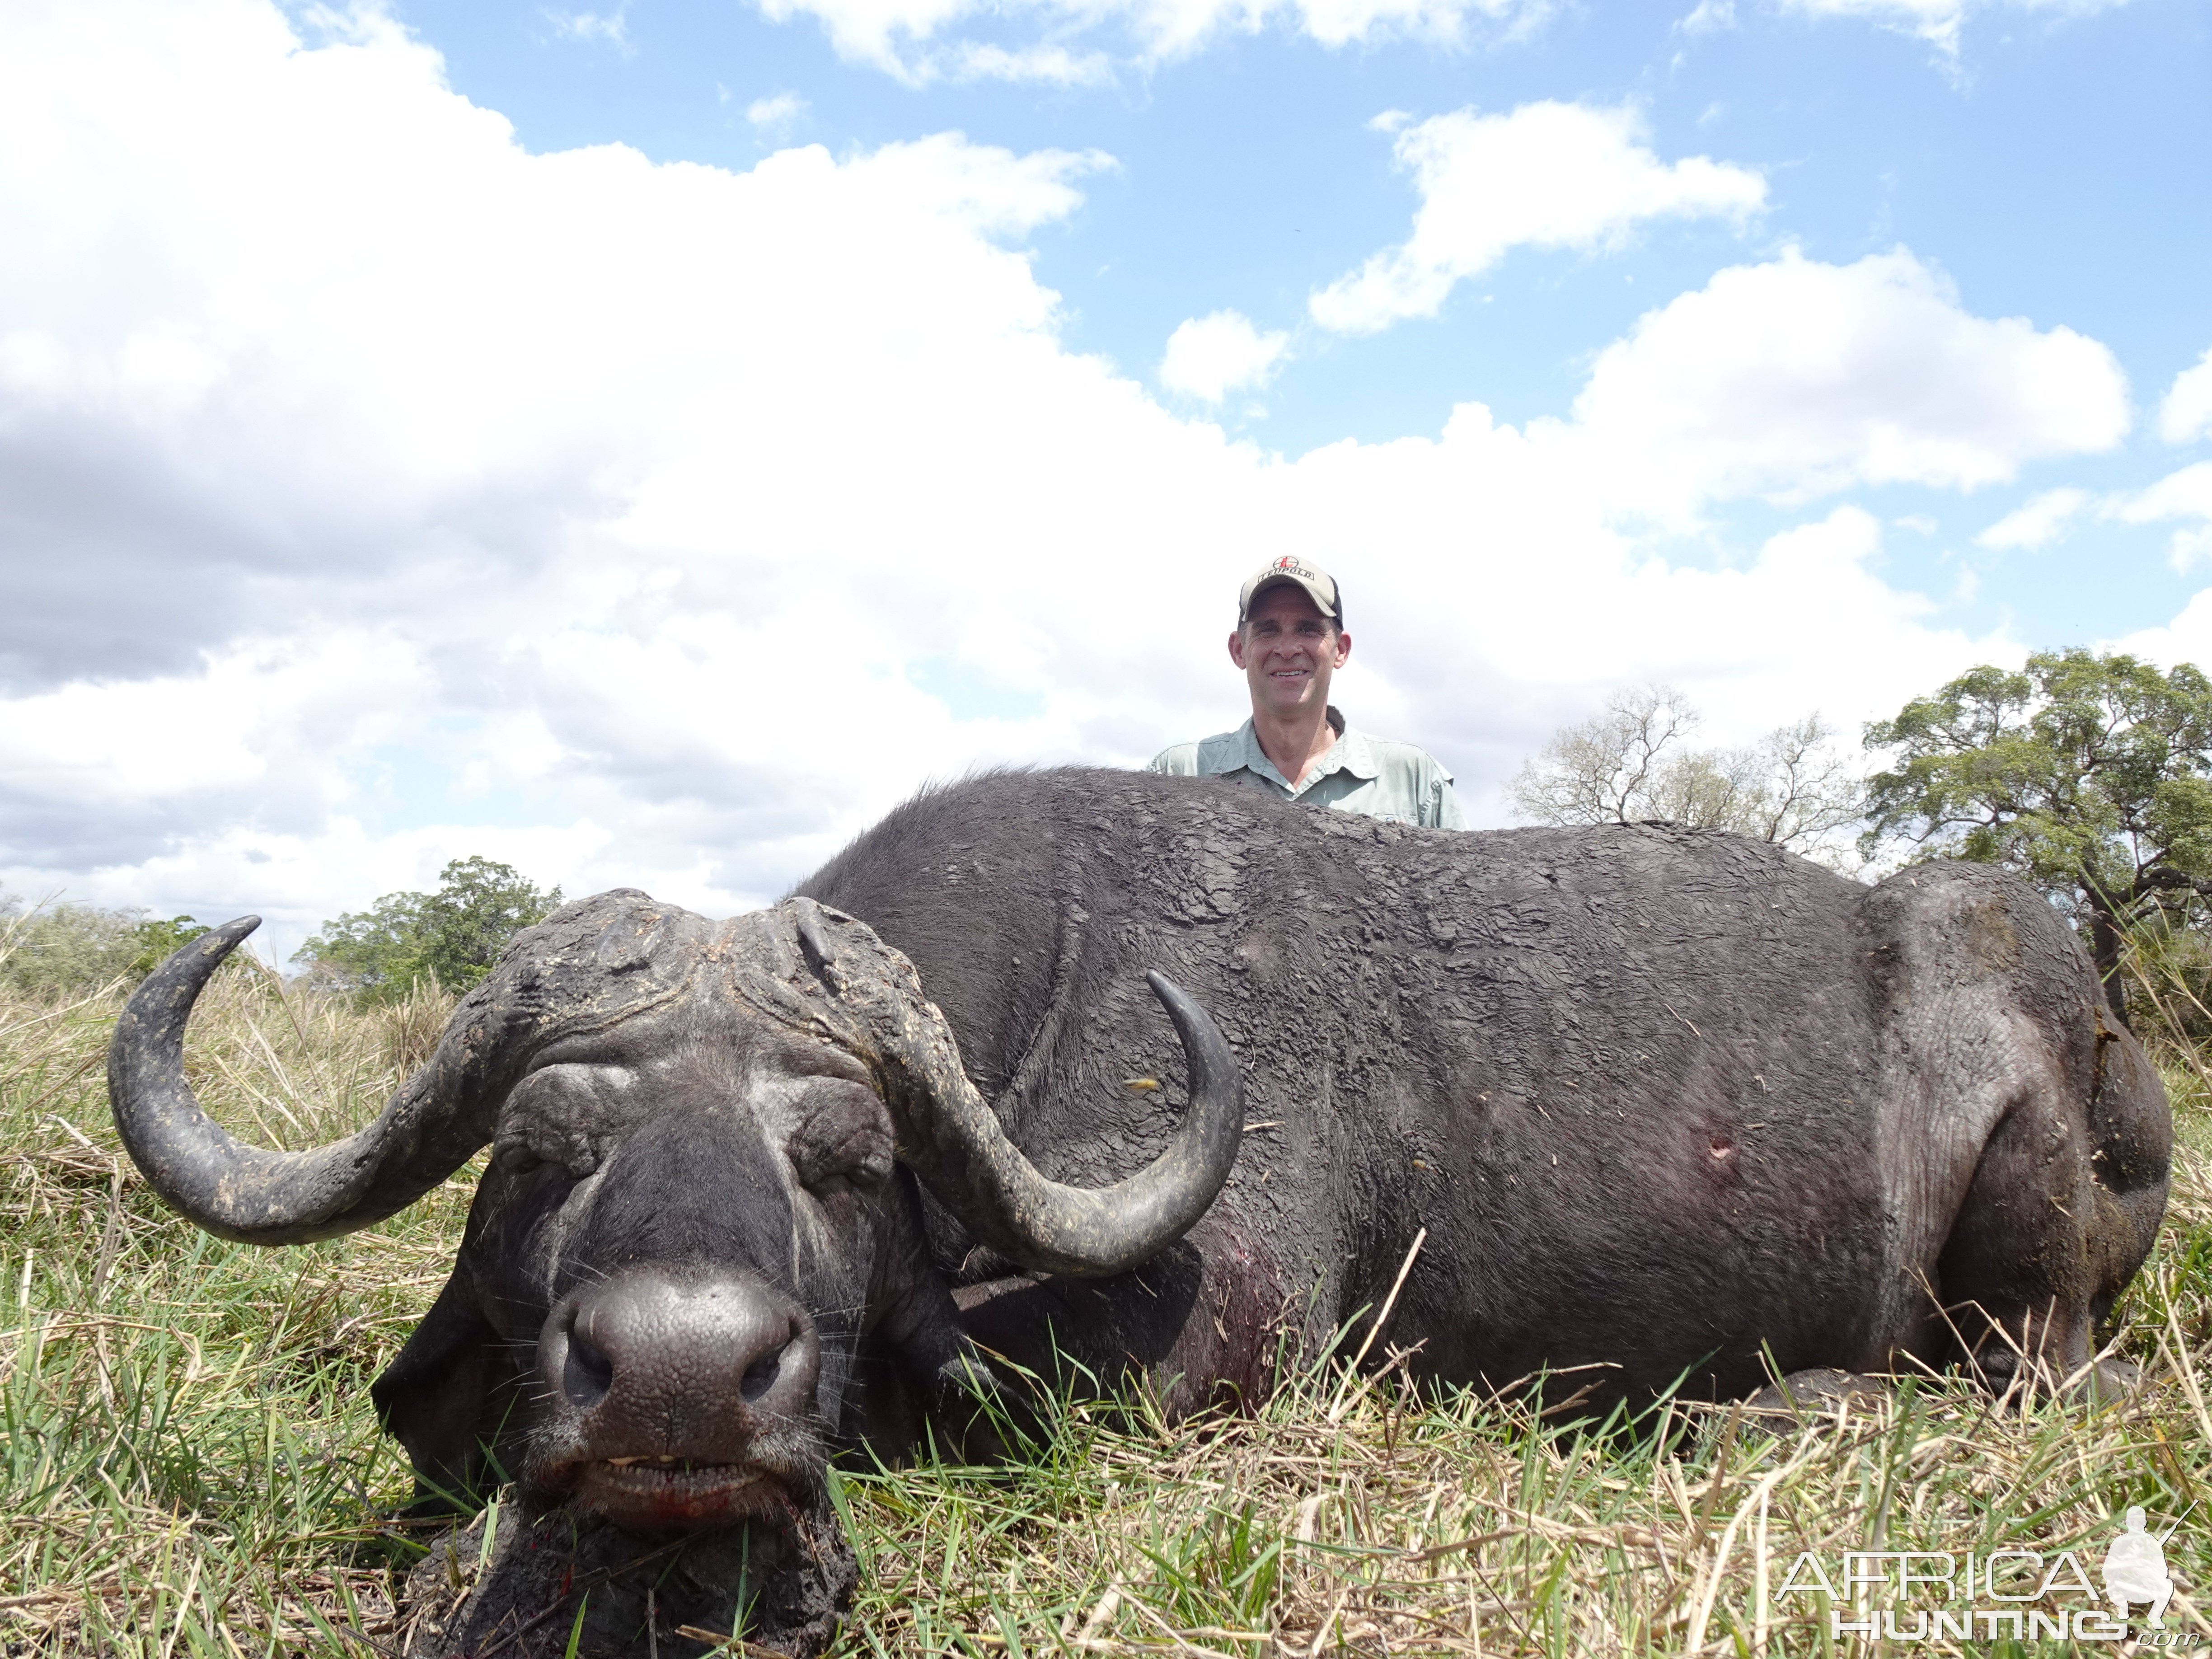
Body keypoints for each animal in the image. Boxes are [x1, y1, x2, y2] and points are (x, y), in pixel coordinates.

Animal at [112, 774, 2168, 1654]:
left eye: (841, 1153)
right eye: (543, 1143)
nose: (682, 1382)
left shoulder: (1212, 1340)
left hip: (2028, 1253)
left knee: (2017, 1379)